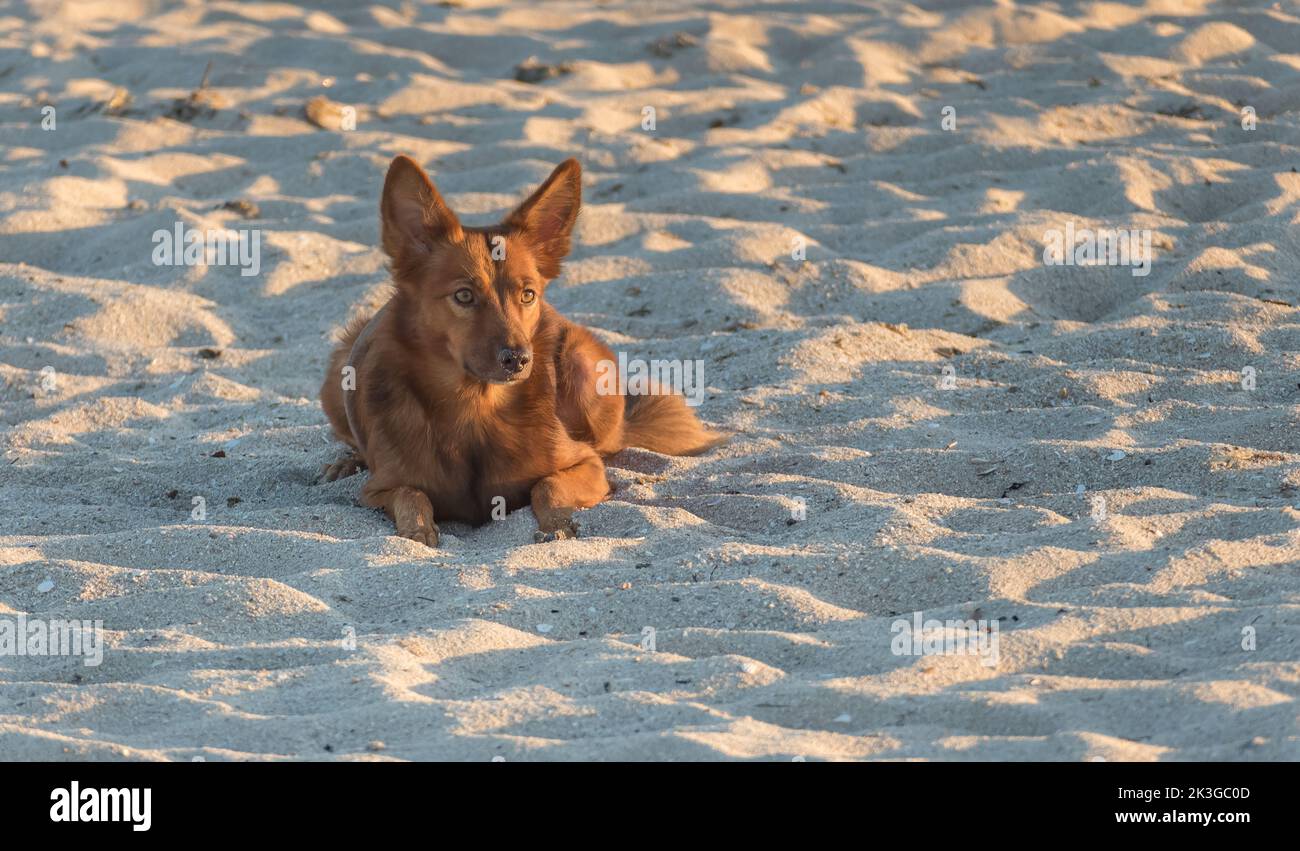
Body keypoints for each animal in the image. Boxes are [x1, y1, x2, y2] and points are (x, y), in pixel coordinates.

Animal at [319, 154, 728, 545]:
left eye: (527, 294)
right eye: (464, 296)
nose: (518, 359)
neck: (475, 407)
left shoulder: (587, 466)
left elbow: (547, 486)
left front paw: (558, 524)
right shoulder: (379, 490)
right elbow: (411, 495)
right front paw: (418, 531)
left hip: (580, 366)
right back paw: (345, 462)